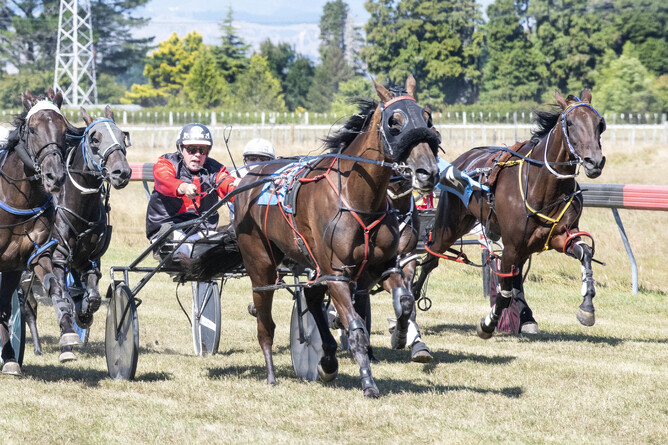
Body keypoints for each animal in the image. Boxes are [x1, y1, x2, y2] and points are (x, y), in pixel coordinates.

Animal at [0, 88, 72, 372]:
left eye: (65, 130)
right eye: (32, 129)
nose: (55, 177)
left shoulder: (34, 254)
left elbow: (54, 286)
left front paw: (68, 336)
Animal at [22, 106, 132, 360]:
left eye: (122, 137)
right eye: (95, 139)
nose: (121, 172)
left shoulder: (88, 261)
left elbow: (92, 298)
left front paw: (83, 314)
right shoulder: (57, 259)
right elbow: (62, 296)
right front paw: (68, 340)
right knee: (28, 306)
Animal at [236, 74, 444, 398]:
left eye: (427, 117)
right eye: (394, 122)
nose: (428, 172)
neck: (357, 197)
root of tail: (251, 176)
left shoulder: (383, 265)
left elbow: (406, 303)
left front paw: (400, 335)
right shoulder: (337, 273)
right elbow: (356, 327)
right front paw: (369, 383)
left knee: (310, 295)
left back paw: (328, 360)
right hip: (261, 263)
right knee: (265, 319)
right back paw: (272, 374)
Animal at [412, 90, 604, 336]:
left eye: (600, 124)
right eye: (569, 123)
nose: (594, 161)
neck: (542, 186)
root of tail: (462, 160)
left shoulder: (560, 236)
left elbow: (585, 253)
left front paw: (587, 308)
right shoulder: (512, 246)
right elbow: (504, 292)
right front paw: (488, 324)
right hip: (450, 226)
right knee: (431, 258)